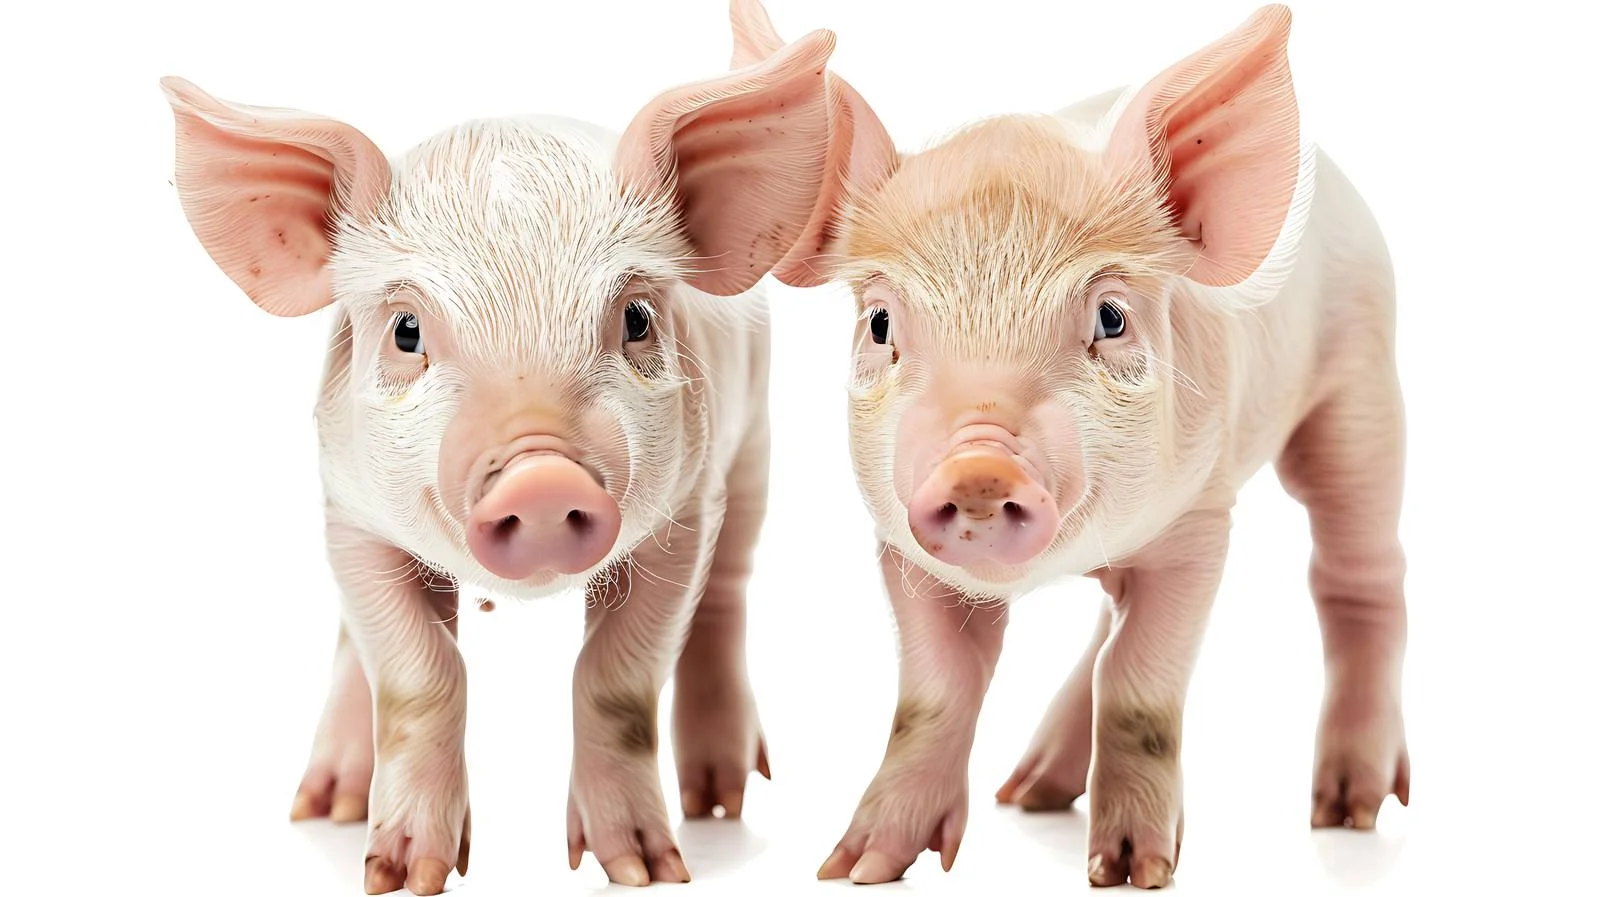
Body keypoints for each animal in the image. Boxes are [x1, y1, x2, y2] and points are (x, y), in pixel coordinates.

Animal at [159, 26, 842, 895]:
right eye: (407, 330)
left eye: (637, 317)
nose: (541, 474)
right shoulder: (347, 509)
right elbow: (418, 674)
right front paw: (402, 874)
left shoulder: (685, 511)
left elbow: (616, 676)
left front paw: (644, 868)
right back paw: (331, 807)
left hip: (752, 443)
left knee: (726, 591)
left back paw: (720, 803)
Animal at [730, 0, 1411, 888]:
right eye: (879, 323)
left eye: (1111, 317)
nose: (978, 464)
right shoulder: (901, 547)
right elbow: (934, 692)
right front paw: (858, 865)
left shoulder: (1201, 521)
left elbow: (1140, 683)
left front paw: (1131, 872)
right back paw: (1029, 793)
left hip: (1360, 378)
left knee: (1358, 570)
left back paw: (1348, 811)